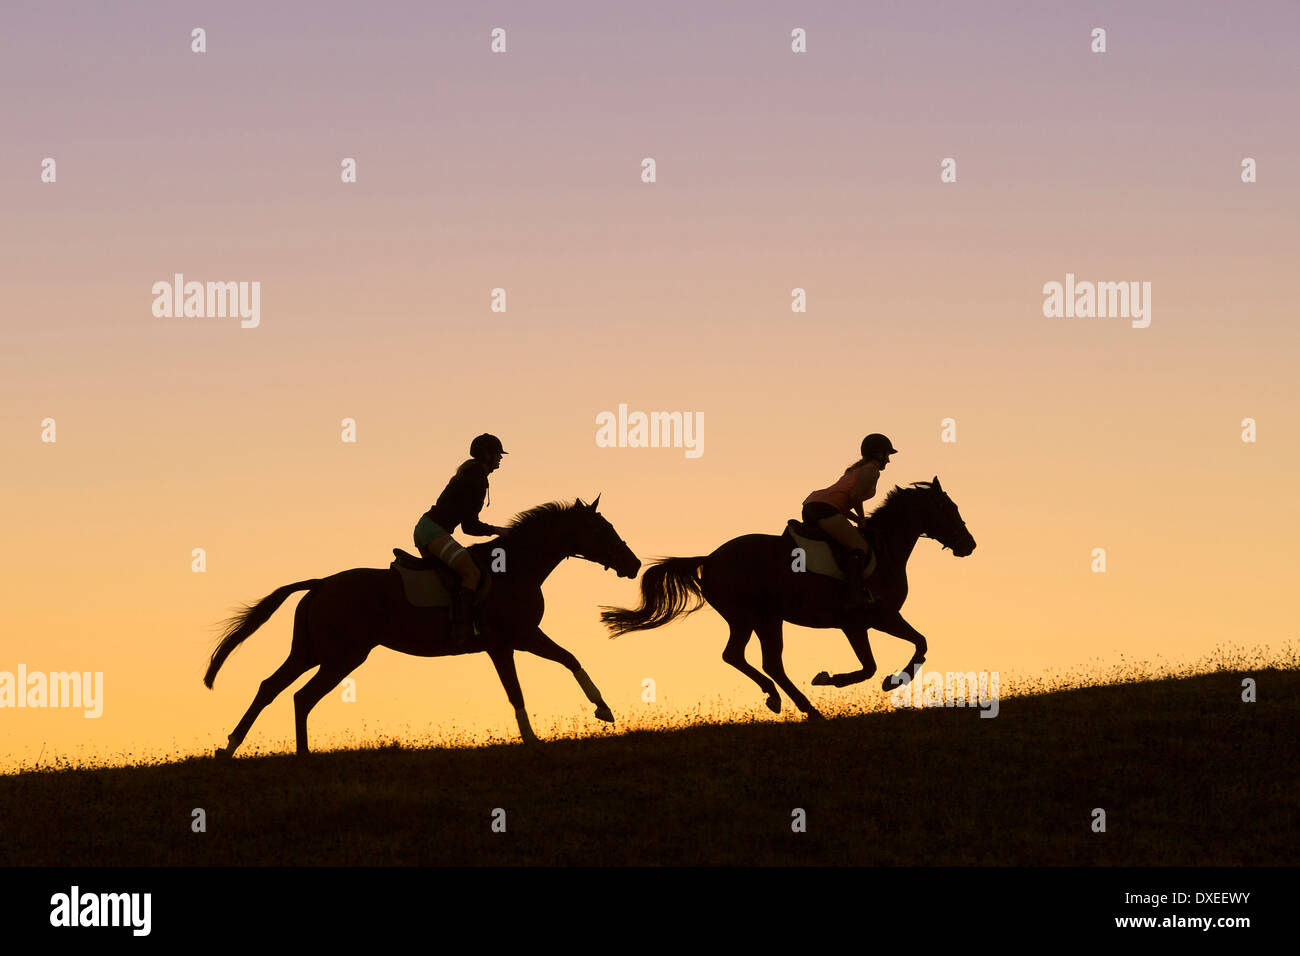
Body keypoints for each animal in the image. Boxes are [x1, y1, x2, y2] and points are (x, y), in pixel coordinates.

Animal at [201, 494, 639, 754]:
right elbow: (517, 690)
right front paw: (532, 740)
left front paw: (603, 709)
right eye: (603, 530)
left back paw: (235, 747)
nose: (633, 564)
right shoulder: (507, 642)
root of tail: (320, 583)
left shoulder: (524, 637)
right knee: (299, 695)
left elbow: (570, 659)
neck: (517, 567)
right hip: (342, 656)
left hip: (313, 651)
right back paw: (295, 753)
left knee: (274, 688)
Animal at [598, 478, 977, 717]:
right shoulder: (868, 619)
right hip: (753, 617)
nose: (969, 545)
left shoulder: (869, 622)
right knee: (751, 658)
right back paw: (798, 704)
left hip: (761, 619)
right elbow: (887, 658)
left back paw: (789, 703)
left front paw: (884, 680)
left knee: (755, 660)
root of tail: (710, 558)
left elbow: (909, 648)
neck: (883, 549)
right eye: (949, 508)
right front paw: (840, 679)